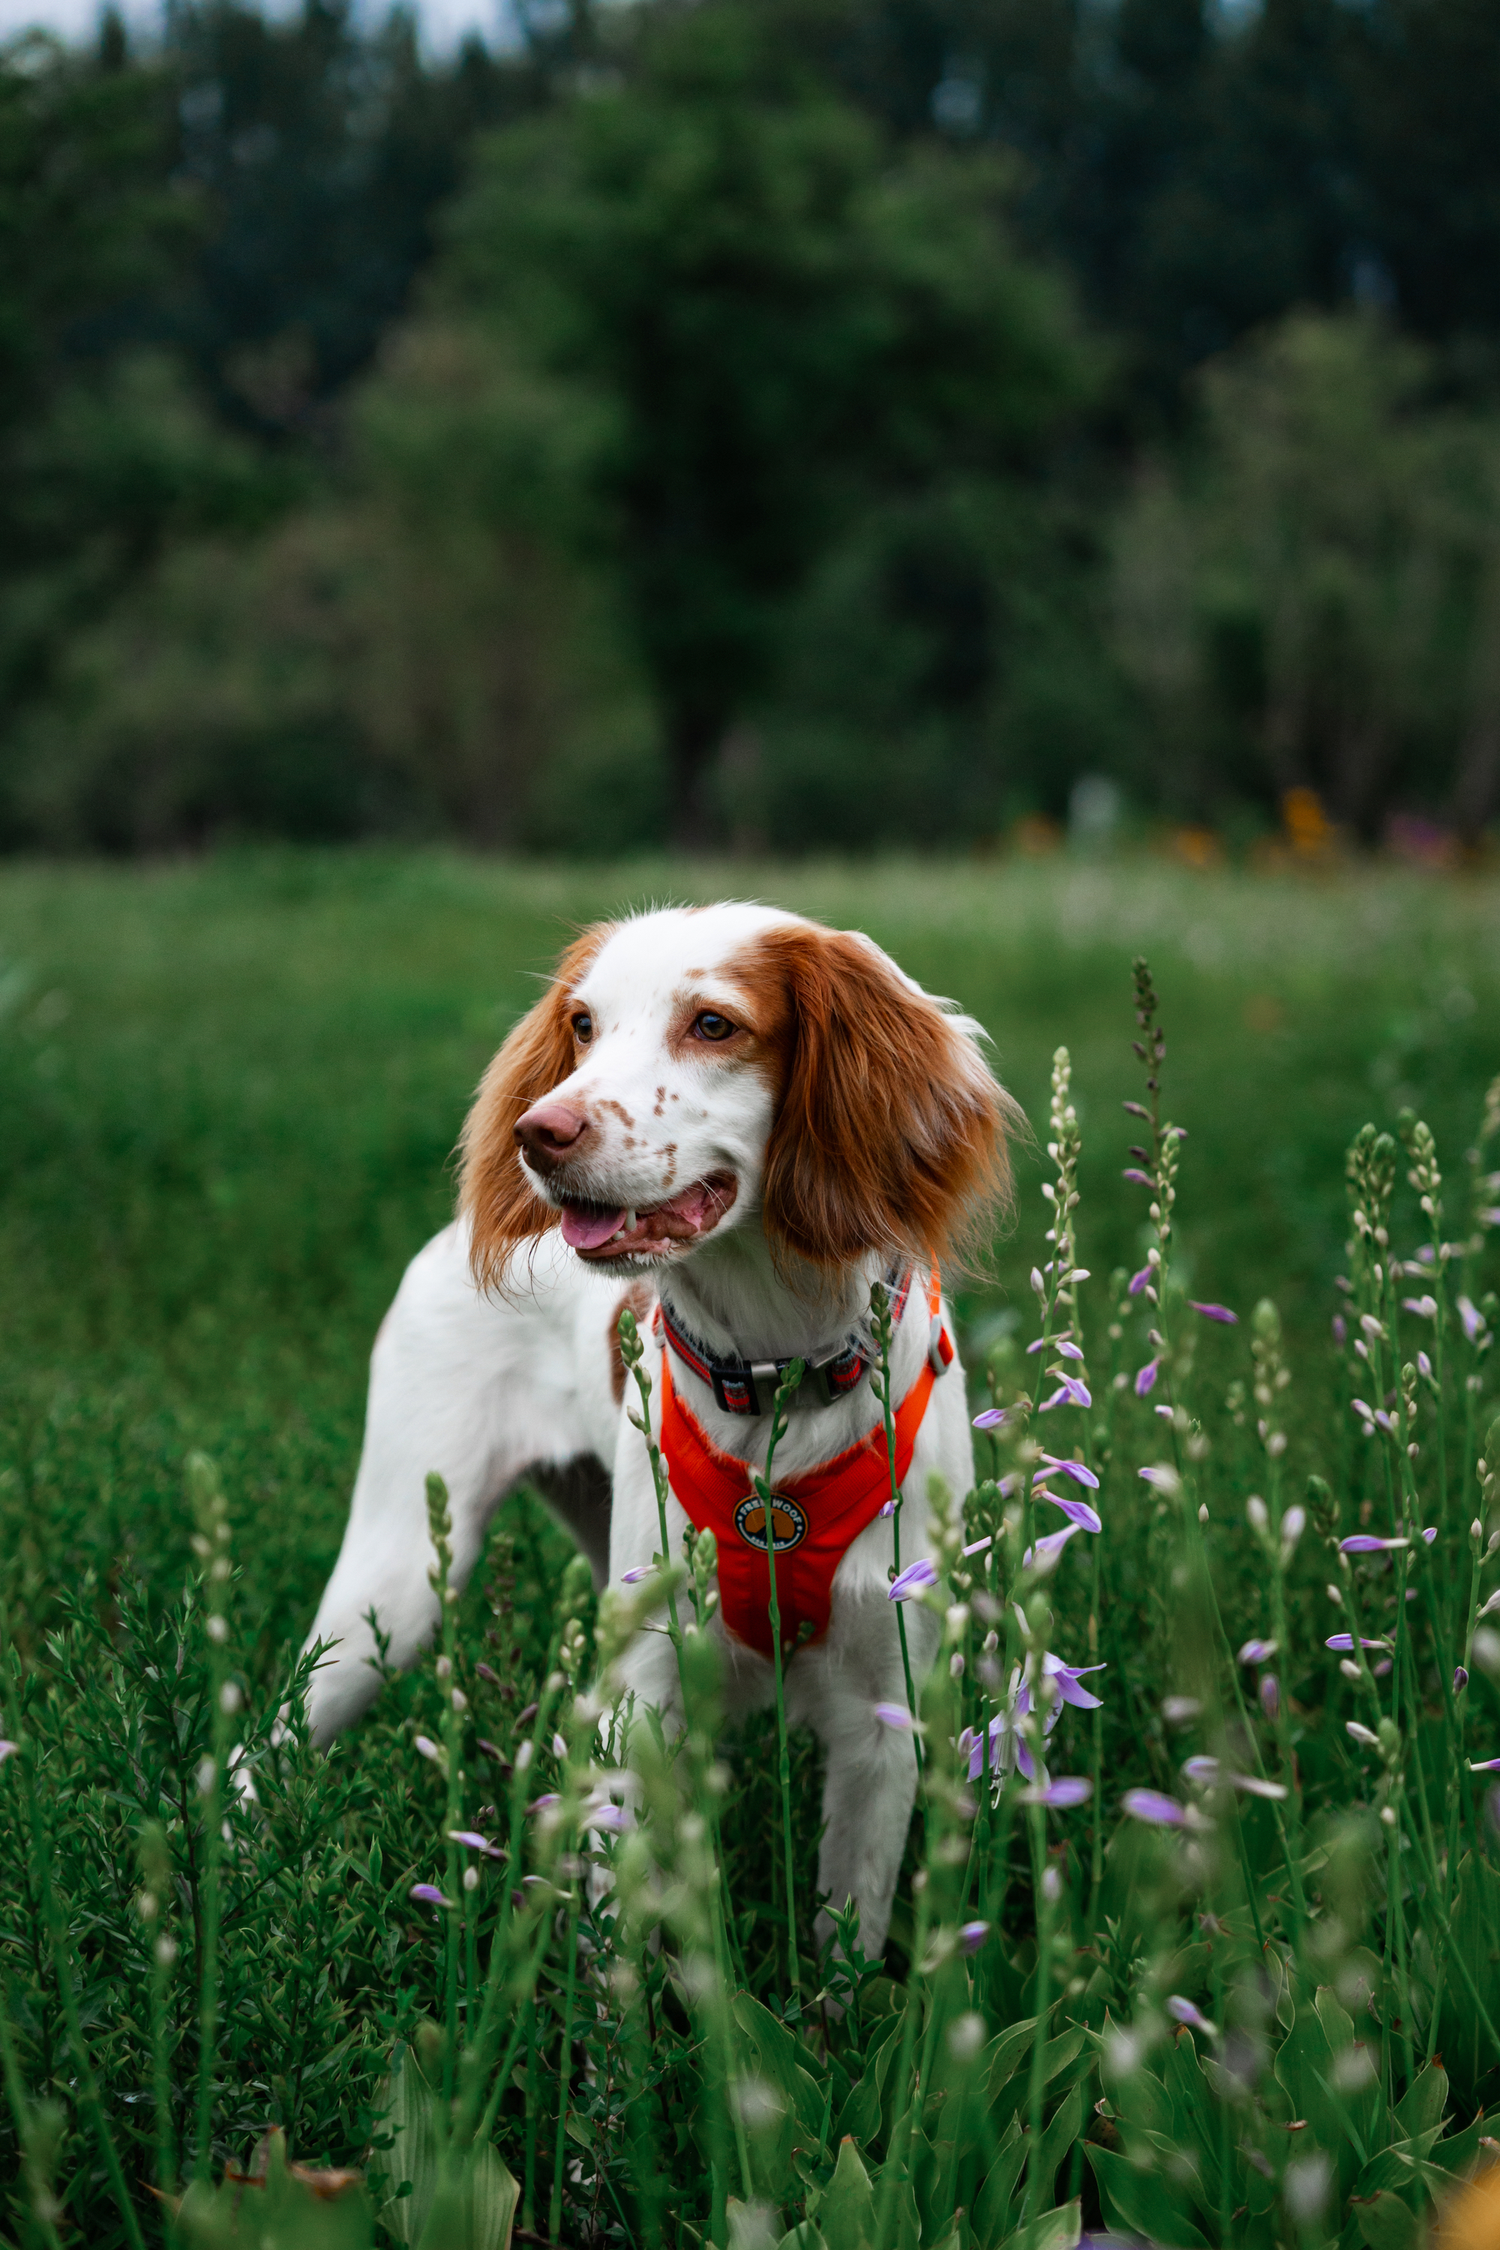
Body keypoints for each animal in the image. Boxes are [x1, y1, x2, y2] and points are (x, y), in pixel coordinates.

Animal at [305, 904, 1016, 1962]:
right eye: (584, 1025)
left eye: (714, 1024)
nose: (538, 1132)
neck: (775, 1378)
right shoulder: (644, 1694)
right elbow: (620, 1934)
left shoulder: (884, 1707)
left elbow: (845, 1942)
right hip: (389, 1587)